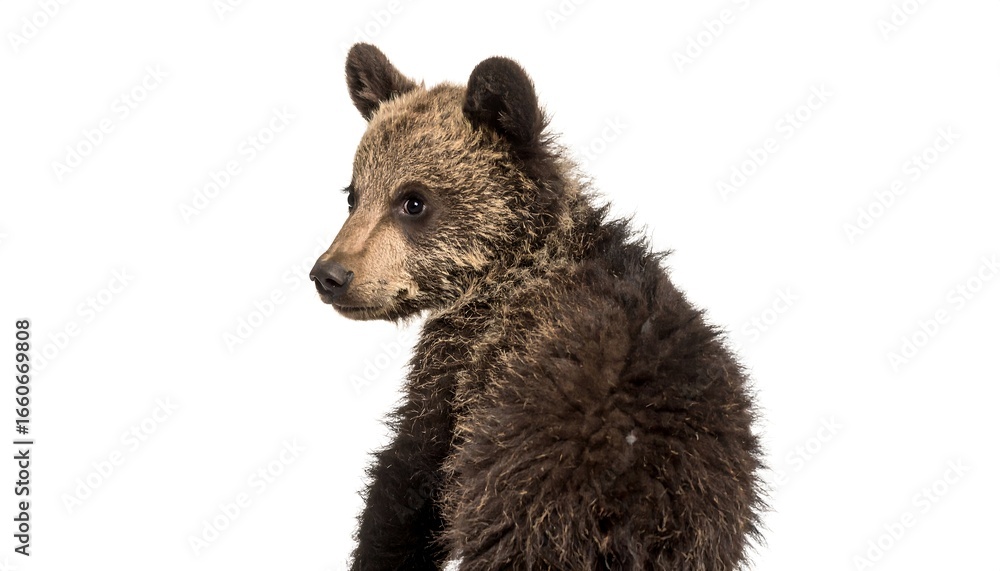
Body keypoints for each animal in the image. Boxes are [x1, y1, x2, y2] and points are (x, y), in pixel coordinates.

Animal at [310, 43, 765, 570]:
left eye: (414, 201)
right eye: (353, 194)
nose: (330, 275)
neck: (514, 266)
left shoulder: (461, 371)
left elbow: (409, 475)